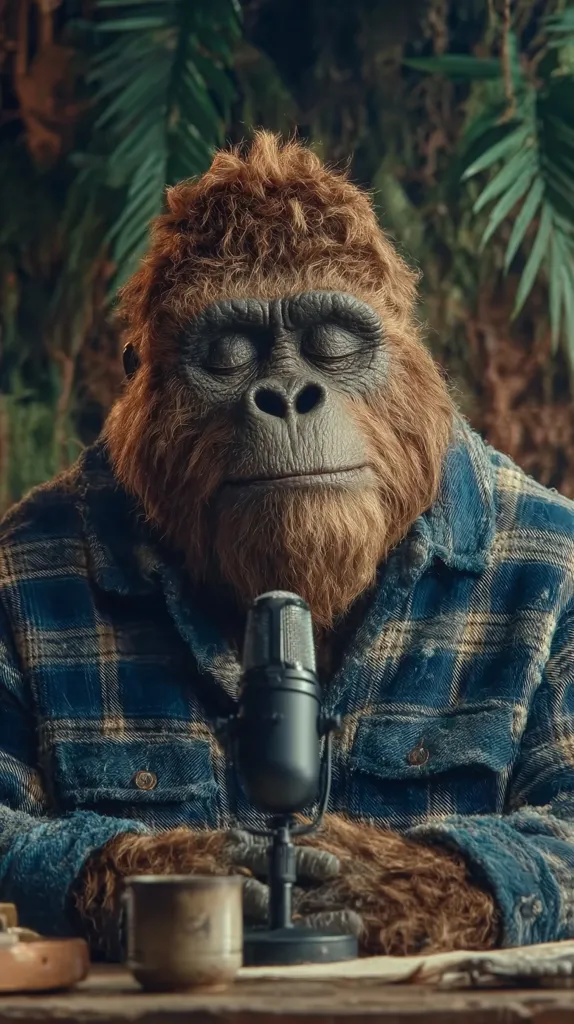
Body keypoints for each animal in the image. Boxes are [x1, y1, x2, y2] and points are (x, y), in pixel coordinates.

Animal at [0, 132, 573, 961]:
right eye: (230, 354)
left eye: (329, 343)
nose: (289, 396)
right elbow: (11, 817)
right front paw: (190, 869)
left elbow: (559, 815)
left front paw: (378, 882)